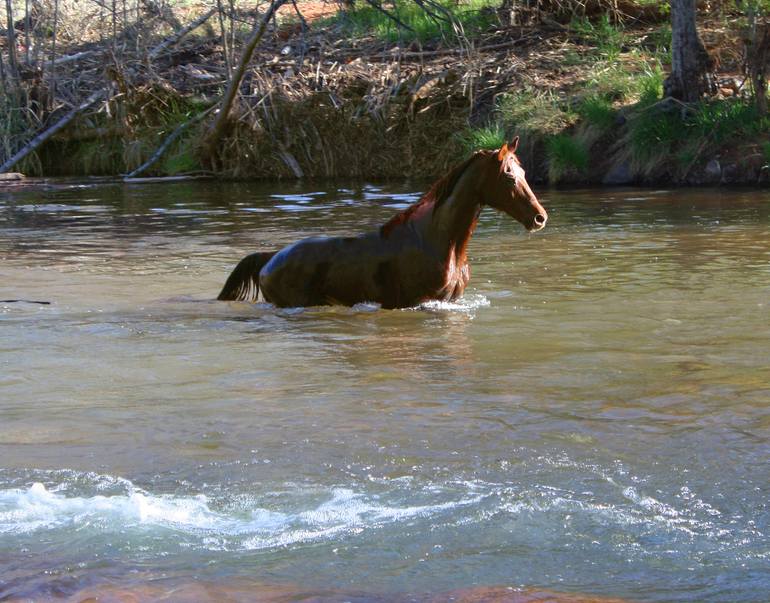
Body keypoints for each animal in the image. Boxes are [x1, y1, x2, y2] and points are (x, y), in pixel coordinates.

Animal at [216, 139, 544, 310]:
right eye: (509, 177)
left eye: (524, 173)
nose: (540, 217)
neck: (438, 241)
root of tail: (270, 259)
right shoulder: (416, 303)